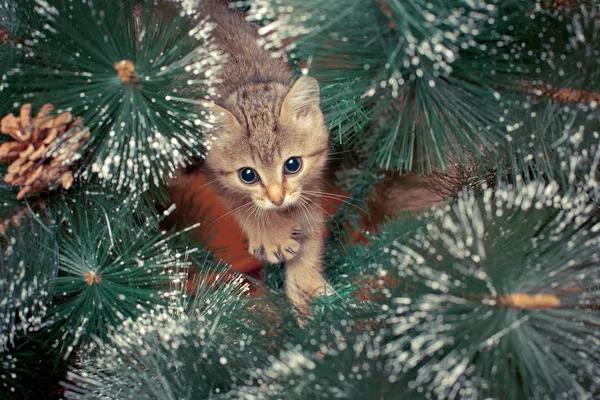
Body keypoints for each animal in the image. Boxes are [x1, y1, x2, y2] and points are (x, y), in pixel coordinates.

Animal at [202, 0, 332, 310]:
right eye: (247, 175)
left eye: (293, 165)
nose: (277, 199)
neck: (246, 80)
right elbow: (238, 199)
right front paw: (271, 233)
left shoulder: (310, 182)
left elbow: (311, 225)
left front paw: (305, 284)